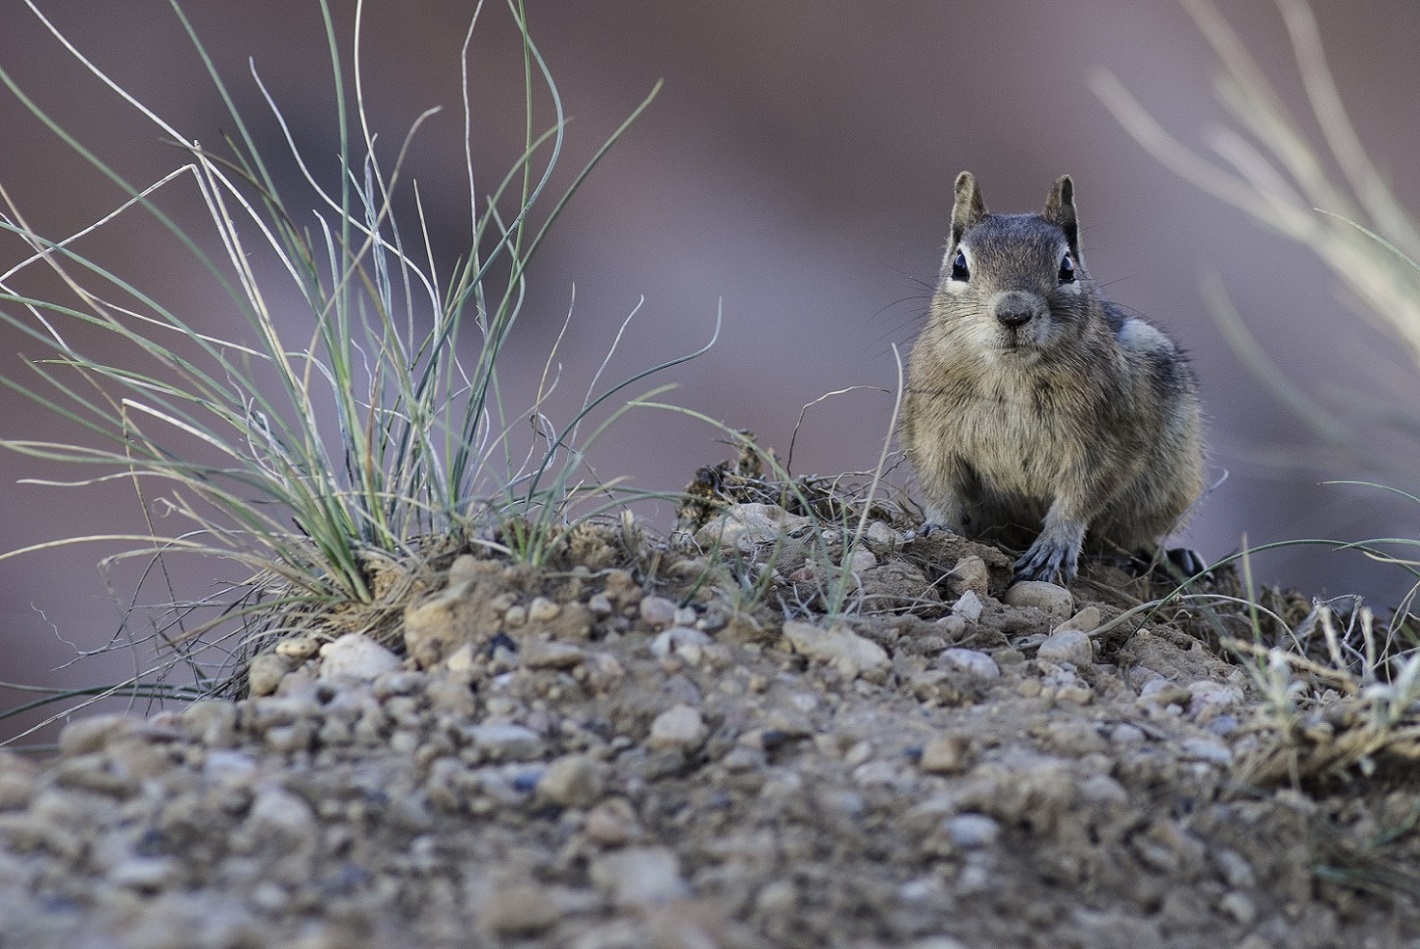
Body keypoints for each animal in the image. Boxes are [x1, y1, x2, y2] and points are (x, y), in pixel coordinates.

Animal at [900, 171, 1205, 584]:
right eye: (959, 265)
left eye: (1067, 268)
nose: (1014, 314)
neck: (1011, 375)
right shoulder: (929, 430)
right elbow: (939, 483)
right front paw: (938, 529)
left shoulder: (1110, 439)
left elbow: (1081, 496)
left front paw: (1054, 547)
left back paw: (1175, 557)